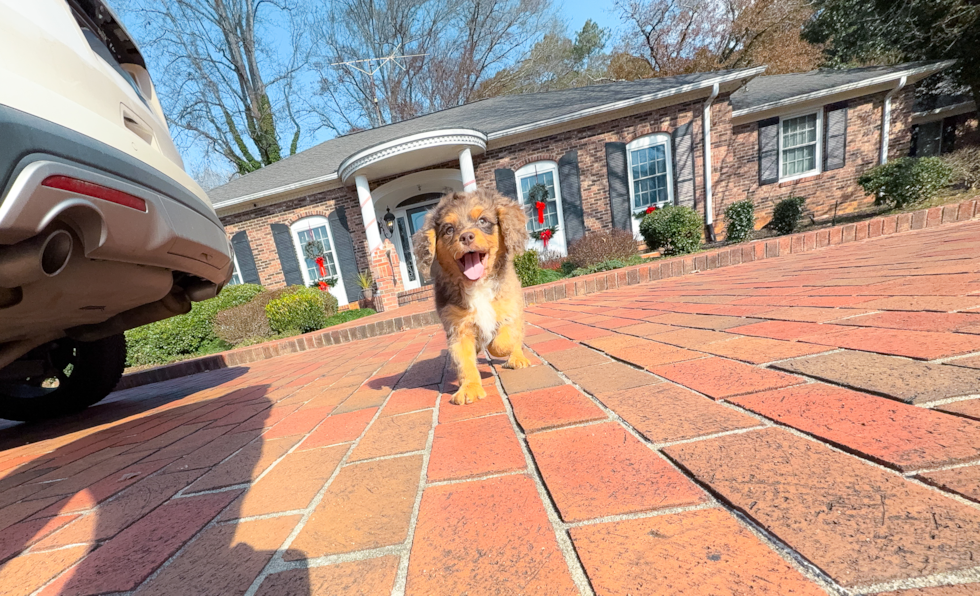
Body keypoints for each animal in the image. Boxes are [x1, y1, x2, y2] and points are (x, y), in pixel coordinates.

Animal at [416, 191, 532, 406]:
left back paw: (517, 358)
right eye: (449, 229)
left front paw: (496, 346)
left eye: (483, 220)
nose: (466, 236)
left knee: (518, 337)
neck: (477, 287)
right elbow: (465, 362)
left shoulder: (508, 312)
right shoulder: (458, 329)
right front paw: (469, 389)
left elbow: (502, 342)